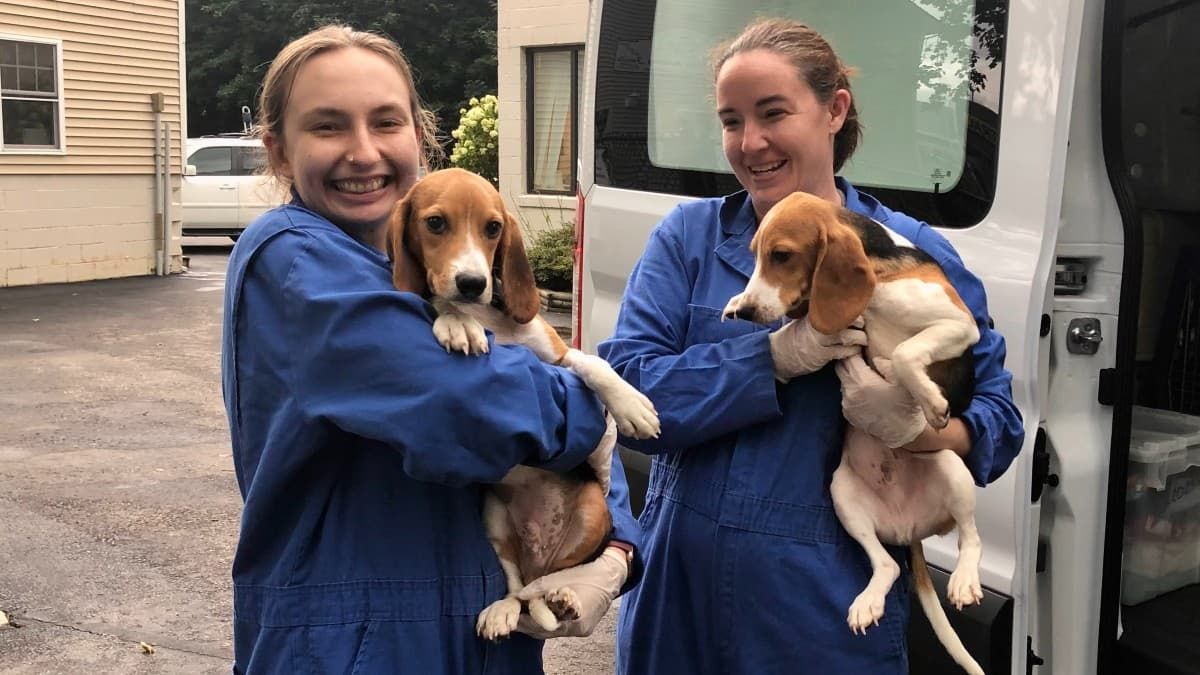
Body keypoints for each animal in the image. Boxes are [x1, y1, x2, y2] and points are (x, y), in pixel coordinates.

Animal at [388, 166, 662, 634]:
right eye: (435, 223)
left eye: (493, 228)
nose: (473, 284)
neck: (489, 316)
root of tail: (540, 546)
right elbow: (441, 304)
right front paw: (457, 323)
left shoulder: (559, 355)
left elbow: (593, 365)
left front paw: (631, 406)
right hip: (494, 516)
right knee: (519, 586)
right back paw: (507, 609)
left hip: (594, 508)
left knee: (548, 579)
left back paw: (563, 595)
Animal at [720, 190, 984, 672]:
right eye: (755, 255)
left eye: (781, 255)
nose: (748, 310)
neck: (878, 280)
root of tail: (909, 530)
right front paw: (737, 300)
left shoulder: (959, 324)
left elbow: (904, 353)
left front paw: (926, 398)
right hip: (842, 493)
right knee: (888, 567)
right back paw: (868, 602)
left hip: (953, 468)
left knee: (971, 538)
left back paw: (963, 581)